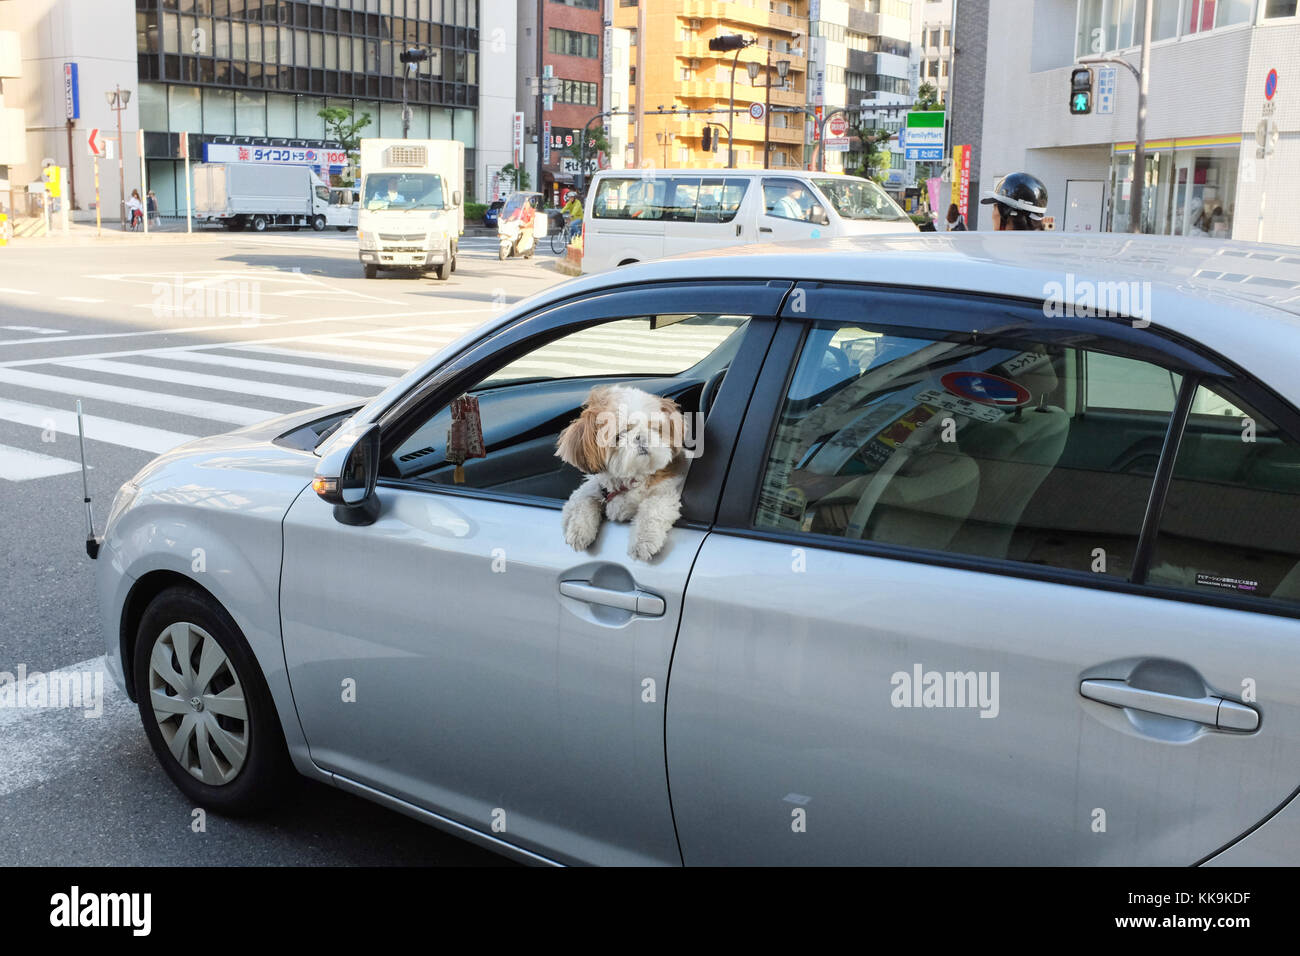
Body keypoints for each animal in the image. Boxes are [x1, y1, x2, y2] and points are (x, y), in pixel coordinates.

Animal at [556, 382, 691, 561]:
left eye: (654, 428)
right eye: (620, 434)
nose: (640, 436)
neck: (631, 479)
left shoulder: (665, 492)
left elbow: (652, 507)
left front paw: (643, 541)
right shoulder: (593, 487)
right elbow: (582, 501)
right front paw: (578, 530)